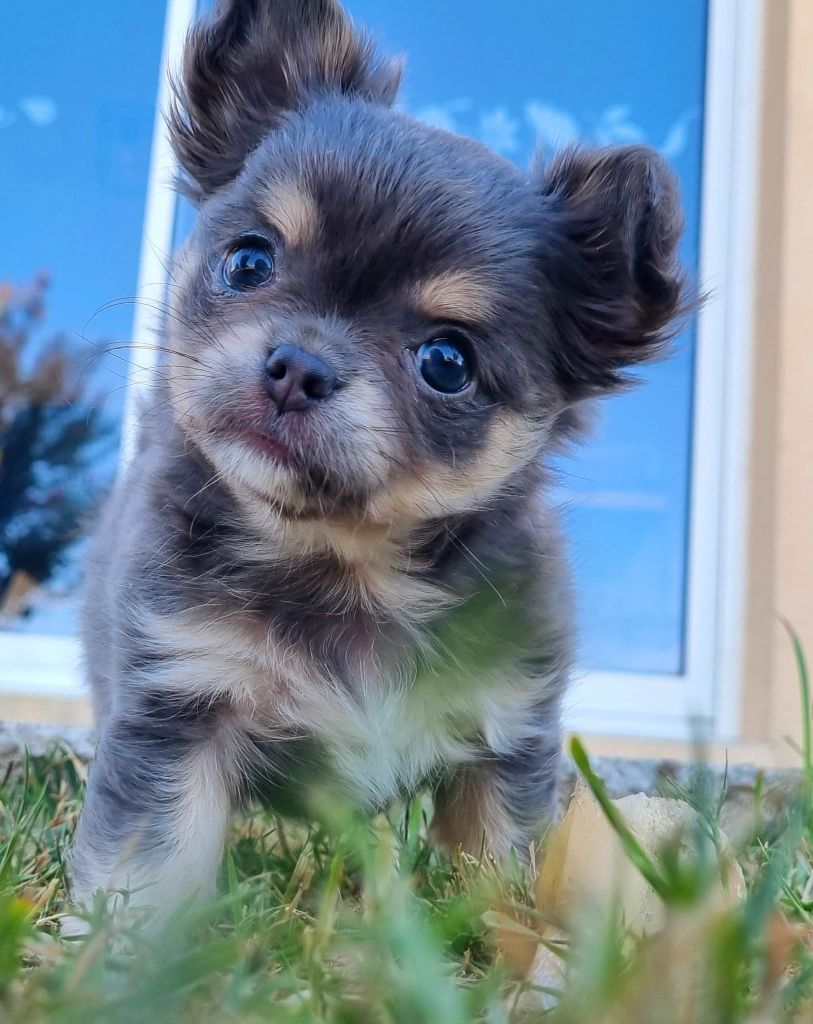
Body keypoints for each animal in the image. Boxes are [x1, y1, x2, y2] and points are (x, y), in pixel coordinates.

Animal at [68, 0, 683, 921]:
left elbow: (498, 877)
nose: (297, 366)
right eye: (248, 261)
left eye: (447, 363)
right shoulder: (177, 699)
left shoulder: (505, 734)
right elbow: (148, 871)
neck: (348, 564)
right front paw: (122, 952)